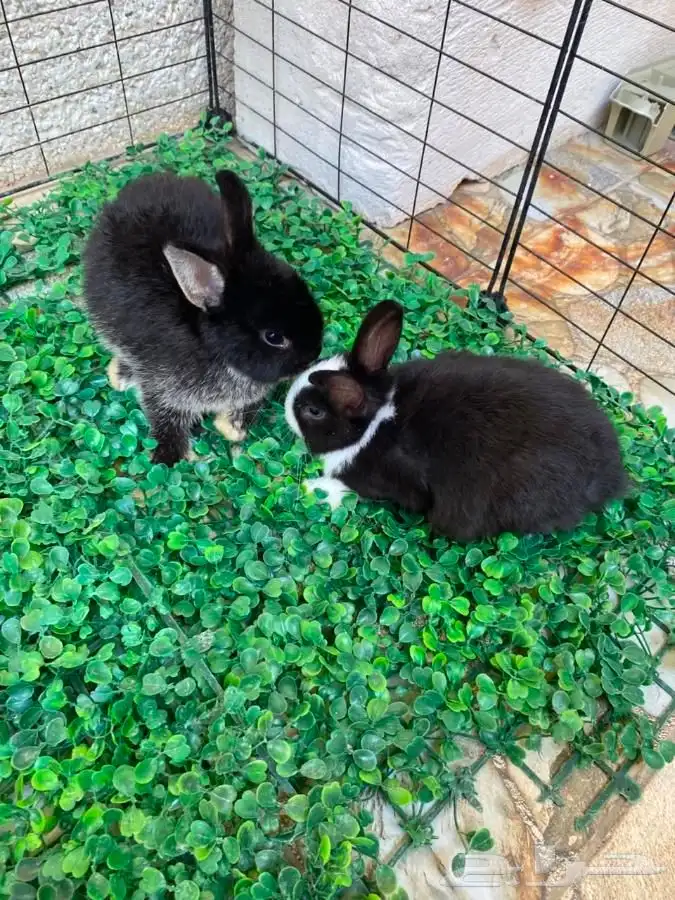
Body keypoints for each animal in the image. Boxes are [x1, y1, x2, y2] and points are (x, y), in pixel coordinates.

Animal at [83, 169, 323, 465]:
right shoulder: (162, 388)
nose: (314, 354)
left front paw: (232, 429)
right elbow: (164, 418)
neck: (212, 345)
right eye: (274, 337)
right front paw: (168, 457)